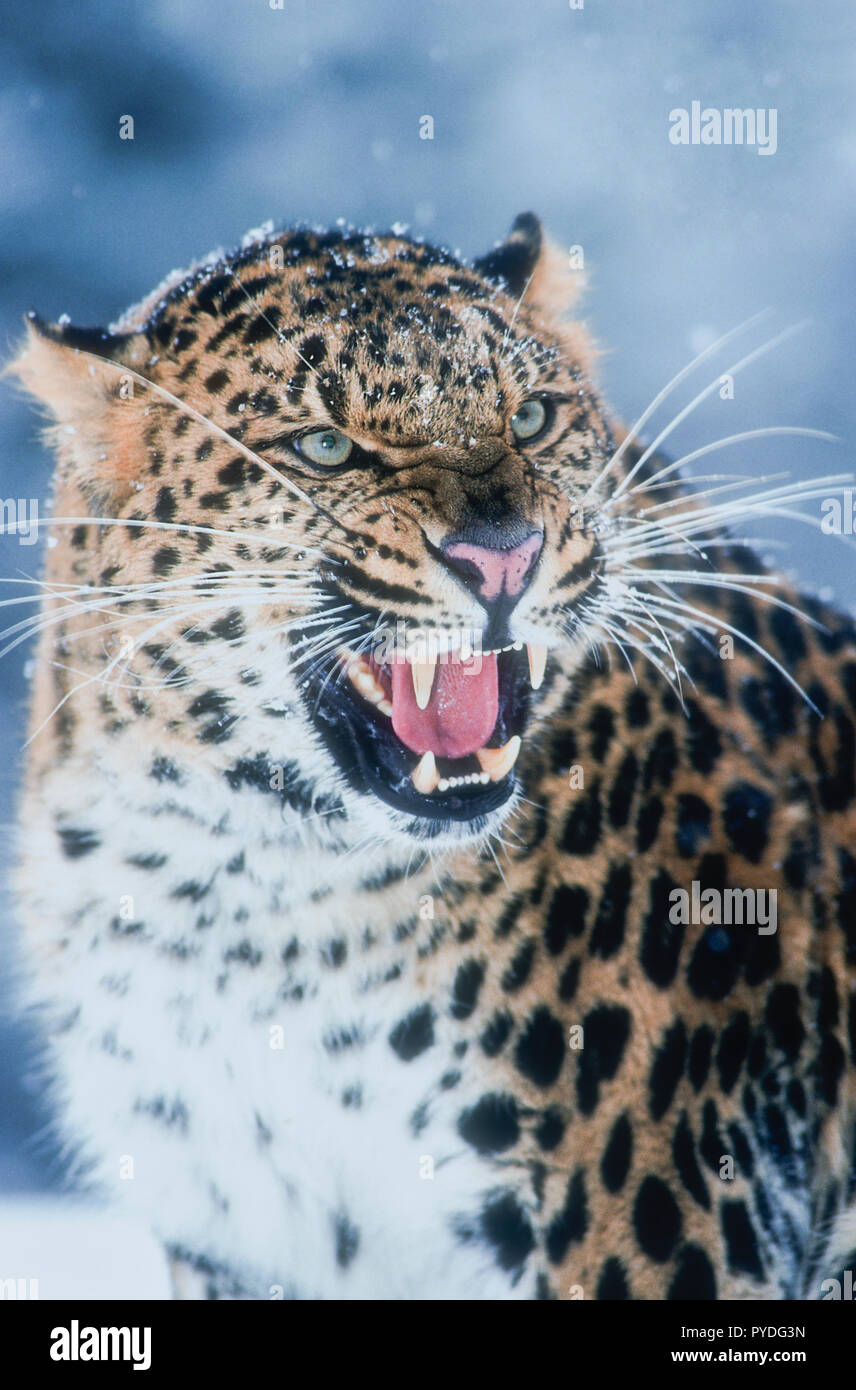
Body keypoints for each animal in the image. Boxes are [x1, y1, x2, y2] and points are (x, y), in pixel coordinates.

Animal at [6, 212, 856, 1300]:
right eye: (327, 447)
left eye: (530, 418)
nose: (504, 555)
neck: (257, 895)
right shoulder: (235, 1241)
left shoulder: (653, 1231)